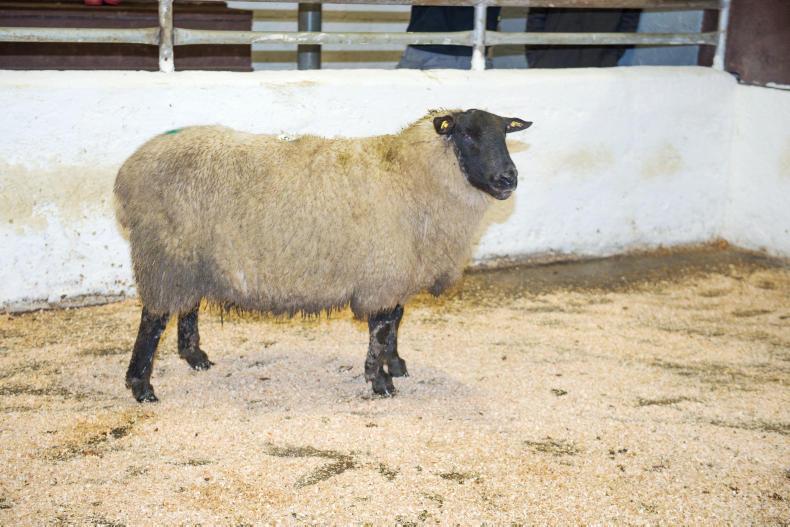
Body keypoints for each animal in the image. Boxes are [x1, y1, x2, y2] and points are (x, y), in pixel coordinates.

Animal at [114, 108, 532, 402]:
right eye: (467, 133)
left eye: (505, 133)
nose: (508, 179)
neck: (411, 174)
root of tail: (129, 170)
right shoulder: (382, 273)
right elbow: (381, 327)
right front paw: (380, 380)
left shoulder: (394, 273)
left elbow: (395, 321)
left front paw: (395, 365)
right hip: (165, 255)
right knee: (153, 321)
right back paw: (141, 386)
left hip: (190, 261)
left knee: (187, 308)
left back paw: (195, 357)